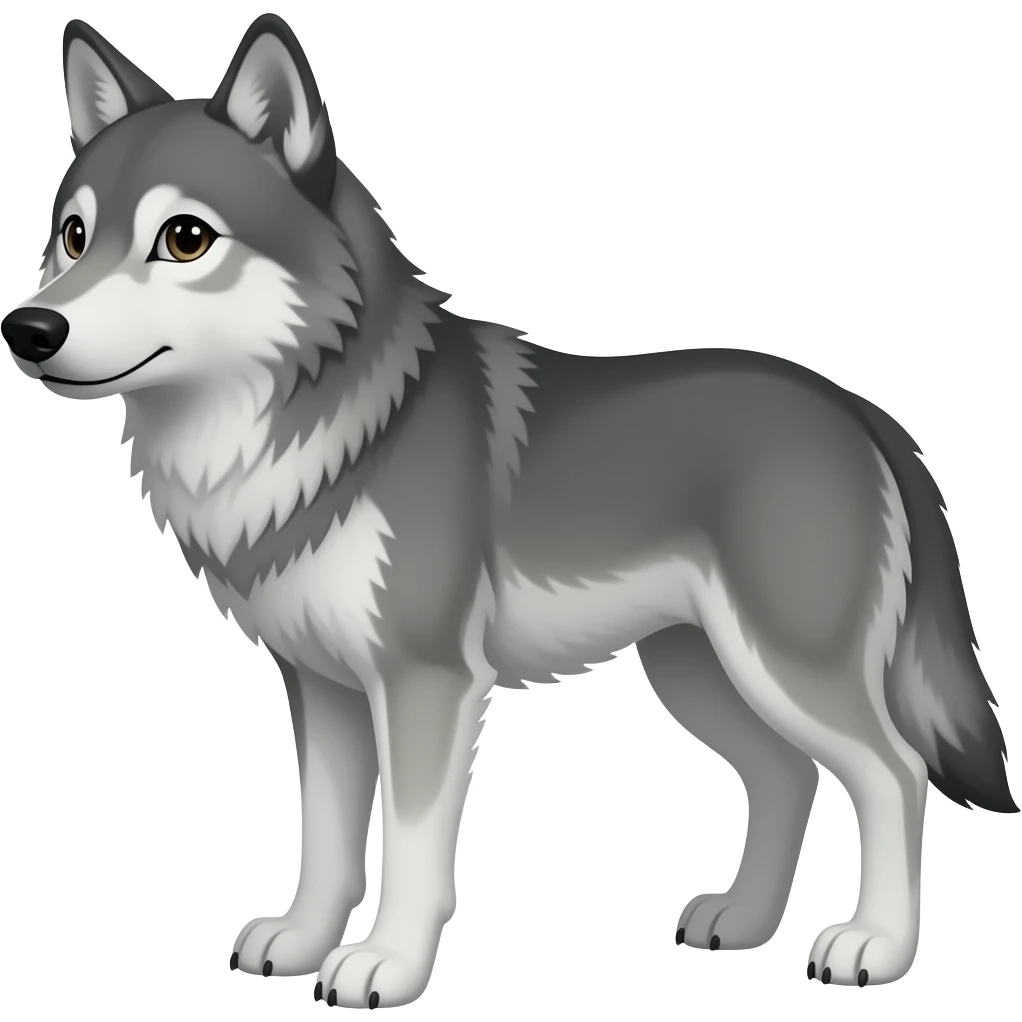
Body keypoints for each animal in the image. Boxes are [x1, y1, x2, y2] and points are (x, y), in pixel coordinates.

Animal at [2, 12, 1015, 1008]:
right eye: (74, 236)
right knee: (789, 775)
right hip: (699, 672)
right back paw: (743, 922)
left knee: (894, 775)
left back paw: (875, 946)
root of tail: (858, 410)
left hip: (784, 668)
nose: (29, 329)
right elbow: (324, 838)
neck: (322, 432)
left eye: (183, 238)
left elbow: (411, 849)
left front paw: (385, 966)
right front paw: (300, 942)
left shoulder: (426, 682)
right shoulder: (323, 688)